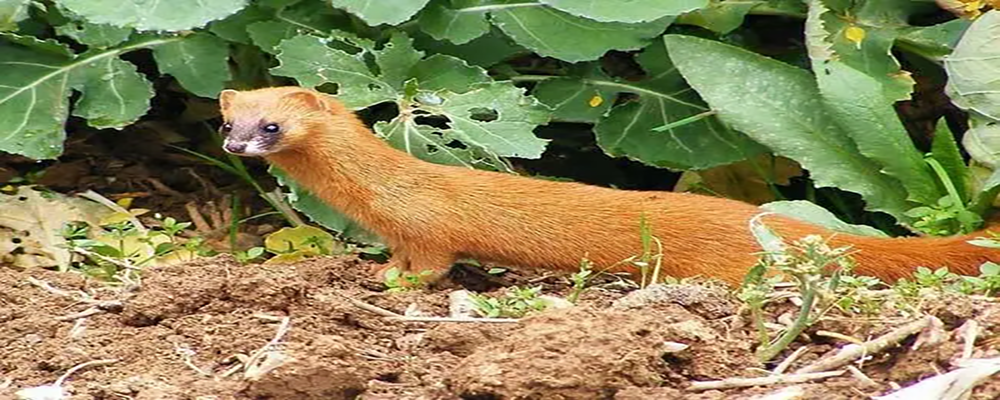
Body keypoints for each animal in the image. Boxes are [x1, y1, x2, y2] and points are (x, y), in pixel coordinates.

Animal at [215, 86, 996, 286]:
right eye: (231, 118)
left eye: (272, 125)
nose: (233, 143)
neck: (378, 196)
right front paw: (377, 270)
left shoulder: (431, 224)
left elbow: (434, 264)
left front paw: (399, 284)